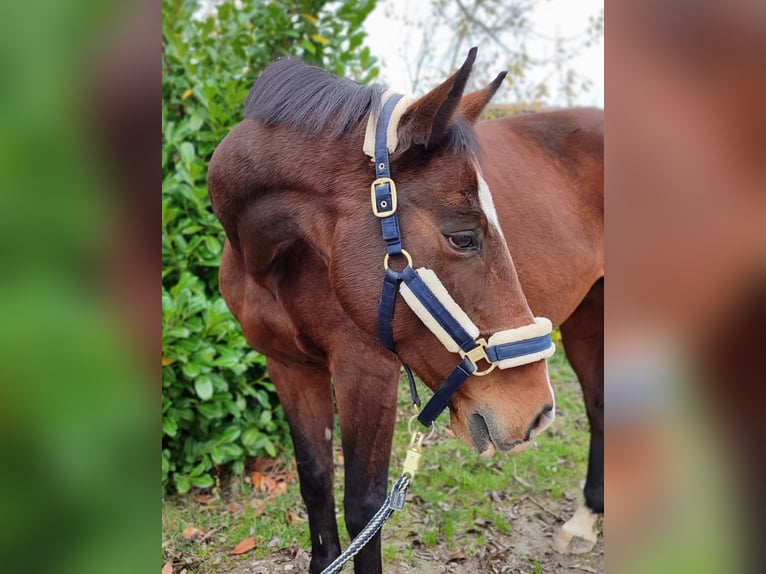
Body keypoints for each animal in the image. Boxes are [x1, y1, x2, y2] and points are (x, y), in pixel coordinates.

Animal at [210, 49, 608, 574]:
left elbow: (364, 507)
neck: (273, 259)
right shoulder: (289, 367)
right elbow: (314, 481)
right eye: (463, 237)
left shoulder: (367, 371)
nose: (535, 413)